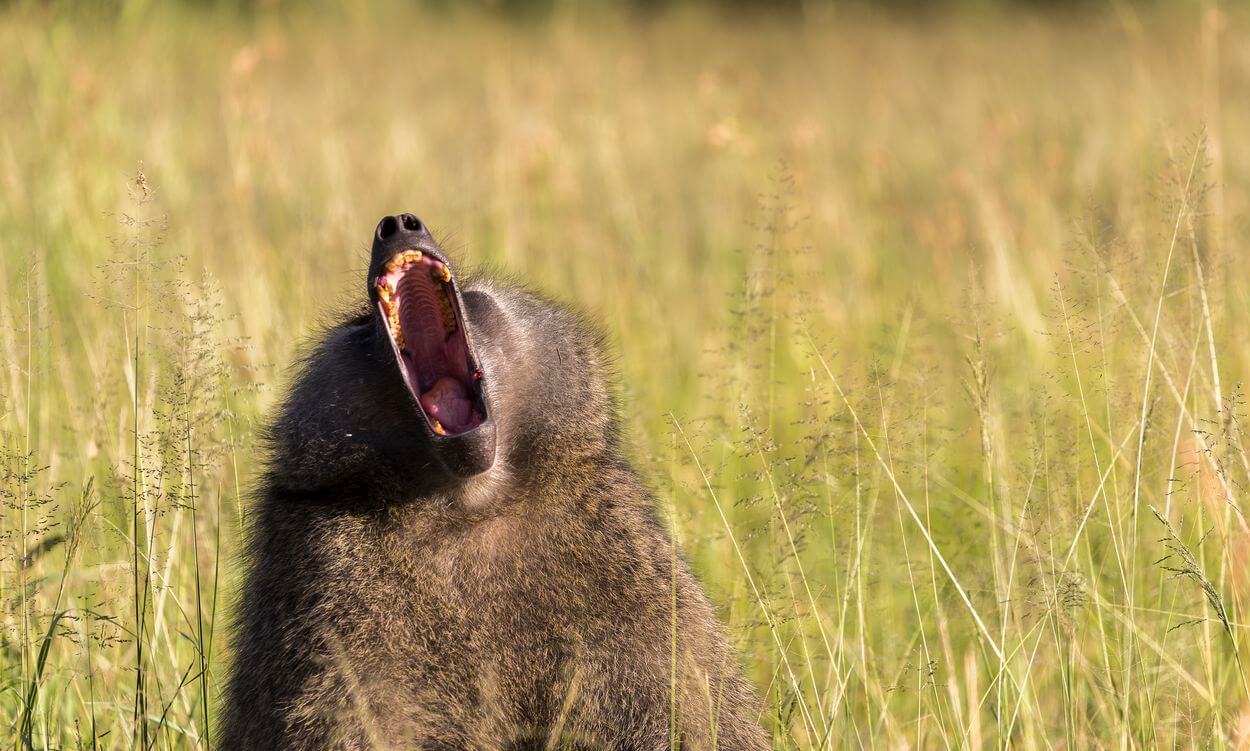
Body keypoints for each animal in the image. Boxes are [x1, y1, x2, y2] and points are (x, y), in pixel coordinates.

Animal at [218, 213, 770, 750]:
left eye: (475, 298)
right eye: (361, 325)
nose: (397, 224)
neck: (470, 504)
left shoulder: (632, 571)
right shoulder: (320, 573)